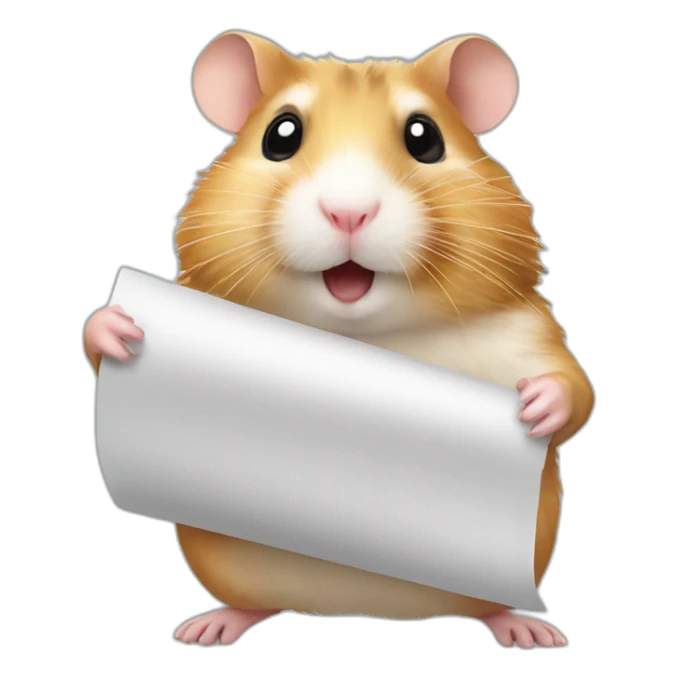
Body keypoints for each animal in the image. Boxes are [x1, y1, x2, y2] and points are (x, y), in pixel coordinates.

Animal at [84, 31, 593, 648]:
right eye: (281, 134)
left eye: (425, 137)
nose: (349, 213)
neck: (363, 333)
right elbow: (95, 345)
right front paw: (115, 327)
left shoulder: (529, 333)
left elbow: (575, 388)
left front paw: (537, 405)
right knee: (251, 604)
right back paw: (210, 627)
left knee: (488, 607)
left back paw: (526, 629)